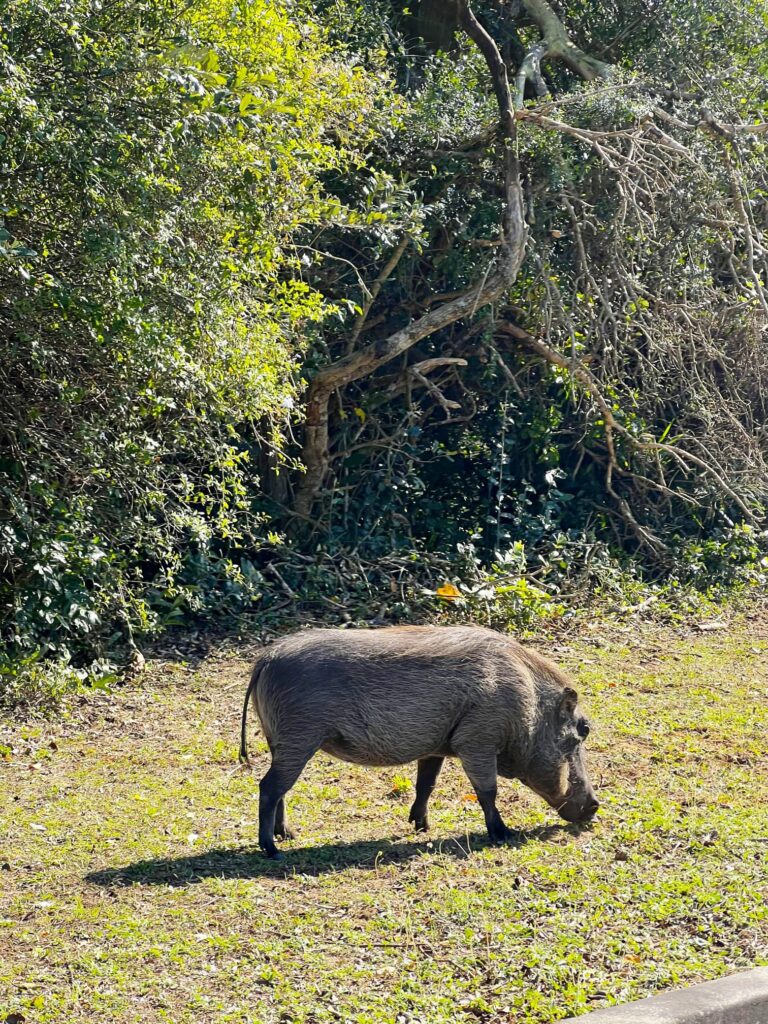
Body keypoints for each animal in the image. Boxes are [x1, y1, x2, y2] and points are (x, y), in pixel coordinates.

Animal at [239, 625, 599, 858]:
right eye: (582, 730)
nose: (595, 807)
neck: (529, 705)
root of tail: (266, 658)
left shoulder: (437, 748)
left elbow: (426, 784)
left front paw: (421, 826)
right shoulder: (477, 742)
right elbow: (488, 791)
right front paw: (501, 833)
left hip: (282, 743)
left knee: (281, 789)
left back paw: (285, 834)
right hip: (299, 739)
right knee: (269, 787)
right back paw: (271, 849)